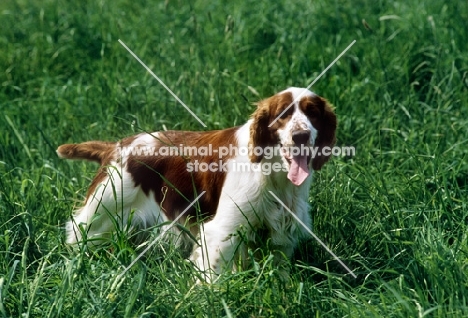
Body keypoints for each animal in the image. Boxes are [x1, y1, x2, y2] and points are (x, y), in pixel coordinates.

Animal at [58, 86, 336, 278]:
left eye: (313, 113)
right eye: (282, 115)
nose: (301, 135)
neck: (271, 170)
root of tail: (115, 147)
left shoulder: (281, 232)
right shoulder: (222, 230)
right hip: (102, 212)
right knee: (77, 233)